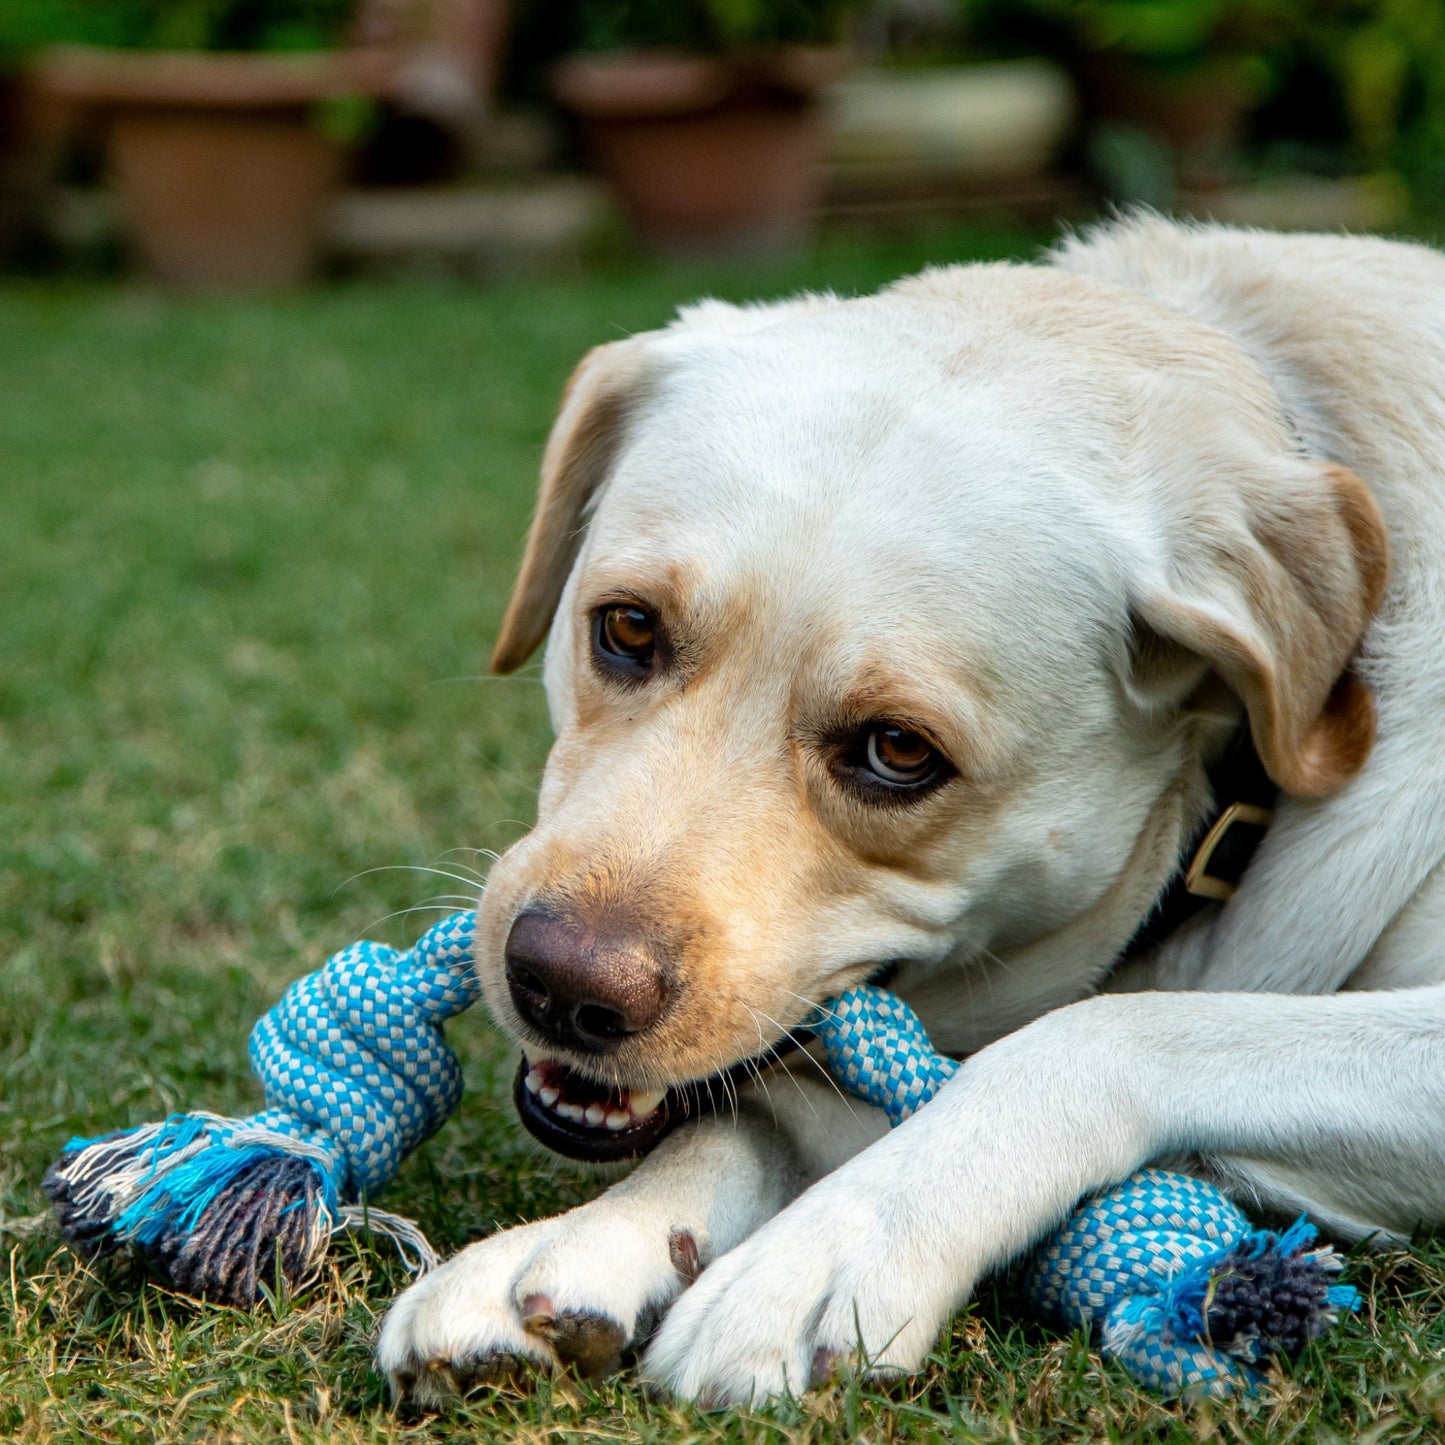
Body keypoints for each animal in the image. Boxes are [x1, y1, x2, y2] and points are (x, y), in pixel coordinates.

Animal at [381, 219, 1445, 1404]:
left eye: (897, 751)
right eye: (625, 628)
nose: (562, 987)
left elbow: (1098, 1035)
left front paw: (829, 1247)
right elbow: (760, 1108)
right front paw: (589, 1237)